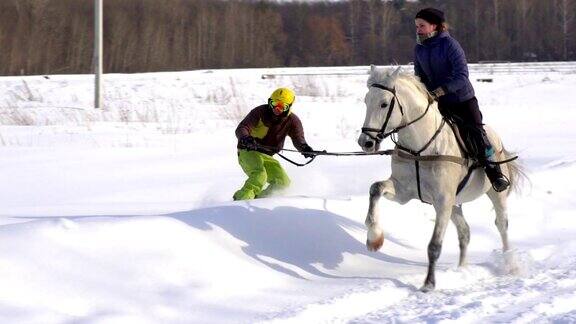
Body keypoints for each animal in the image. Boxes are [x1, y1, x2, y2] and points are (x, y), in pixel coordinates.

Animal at [358, 65, 524, 292]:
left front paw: (428, 283)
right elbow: (375, 188)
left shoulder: (443, 201)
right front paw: (374, 238)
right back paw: (463, 269)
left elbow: (434, 246)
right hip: (455, 204)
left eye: (384, 103)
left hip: (494, 193)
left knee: (502, 225)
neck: (420, 148)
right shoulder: (403, 191)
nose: (365, 142)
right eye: (366, 101)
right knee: (465, 232)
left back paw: (511, 265)